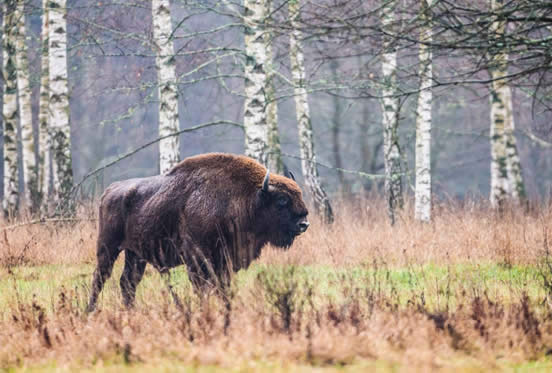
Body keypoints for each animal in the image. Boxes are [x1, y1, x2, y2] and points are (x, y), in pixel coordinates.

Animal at [87, 152, 310, 310]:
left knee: (128, 283)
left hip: (135, 254)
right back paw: (90, 310)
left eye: (298, 195)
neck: (248, 198)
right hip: (108, 248)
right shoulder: (197, 258)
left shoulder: (224, 262)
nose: (304, 223)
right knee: (100, 278)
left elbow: (222, 287)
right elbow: (202, 287)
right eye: (282, 200)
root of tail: (110, 191)